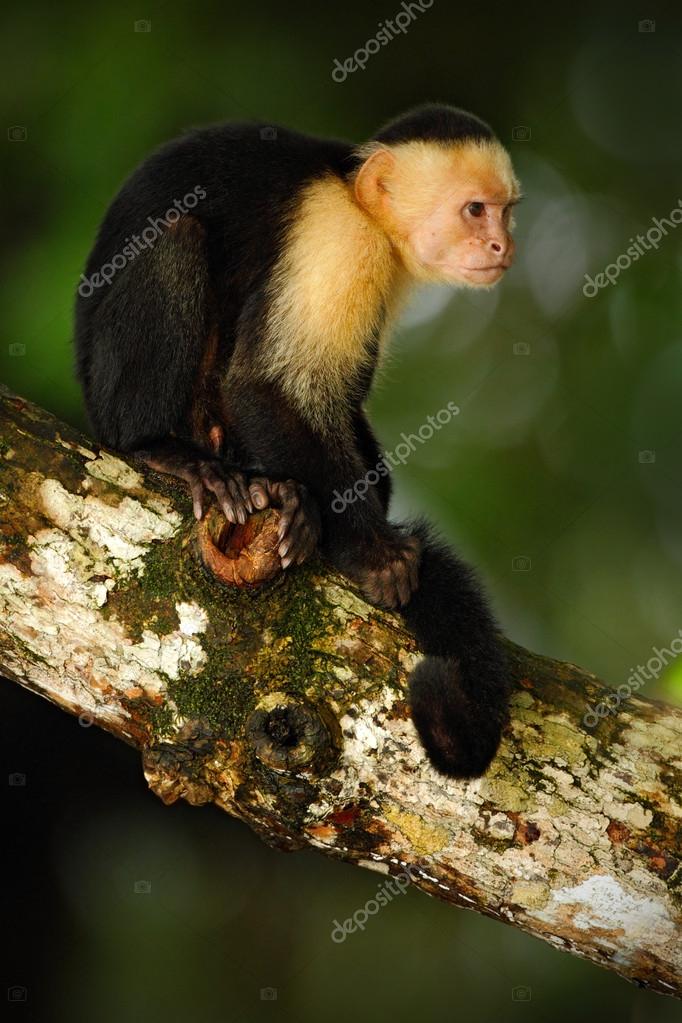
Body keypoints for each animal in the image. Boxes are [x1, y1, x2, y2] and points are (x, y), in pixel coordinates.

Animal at [75, 103, 521, 778]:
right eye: (474, 210)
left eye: (505, 211)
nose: (503, 245)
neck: (358, 200)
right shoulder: (336, 238)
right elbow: (262, 384)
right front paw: (370, 550)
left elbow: (339, 398)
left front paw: (347, 517)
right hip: (112, 391)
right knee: (177, 240)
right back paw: (161, 448)